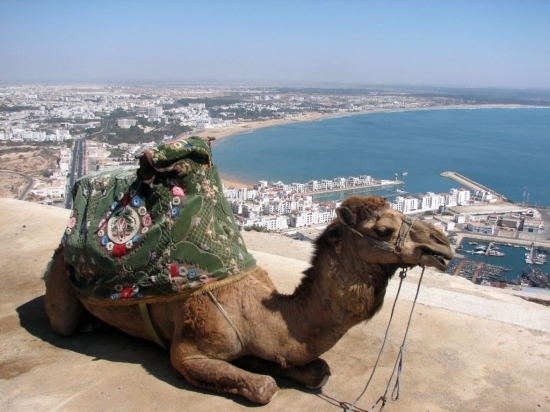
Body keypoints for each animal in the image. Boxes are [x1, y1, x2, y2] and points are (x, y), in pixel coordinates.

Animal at [46, 192, 452, 402]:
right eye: (384, 229)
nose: (442, 243)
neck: (258, 311)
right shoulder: (190, 348)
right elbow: (264, 386)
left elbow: (316, 369)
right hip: (60, 287)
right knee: (61, 321)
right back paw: (85, 324)